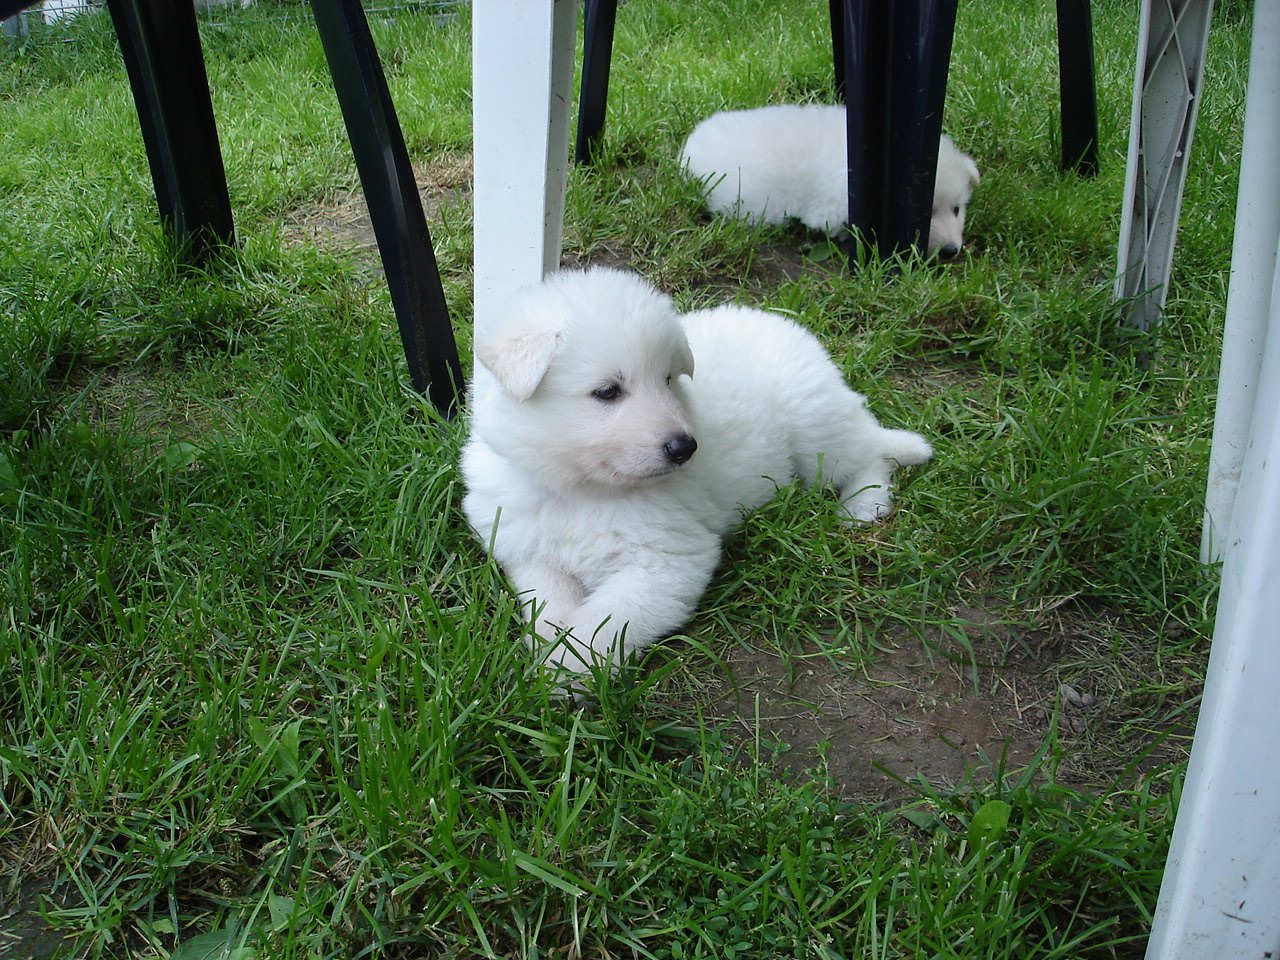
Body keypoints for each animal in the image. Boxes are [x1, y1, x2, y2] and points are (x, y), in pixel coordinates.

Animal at [461, 267, 933, 678]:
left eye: (669, 379)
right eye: (607, 391)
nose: (685, 447)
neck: (584, 491)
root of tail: (784, 327)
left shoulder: (666, 563)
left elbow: (601, 624)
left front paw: (564, 673)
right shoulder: (530, 551)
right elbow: (549, 604)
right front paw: (549, 652)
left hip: (815, 429)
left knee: (867, 453)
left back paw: (862, 506)